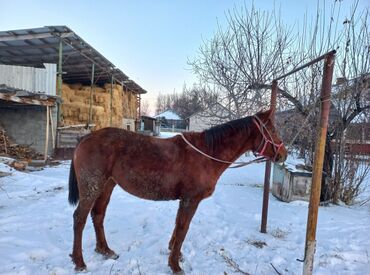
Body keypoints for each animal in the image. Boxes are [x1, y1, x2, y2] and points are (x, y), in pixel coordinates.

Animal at [68, 109, 288, 274]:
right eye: (272, 129)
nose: (283, 154)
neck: (206, 154)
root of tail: (85, 138)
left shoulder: (184, 199)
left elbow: (177, 225)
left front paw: (174, 253)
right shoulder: (191, 199)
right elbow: (183, 228)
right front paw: (175, 265)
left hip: (107, 185)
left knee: (98, 215)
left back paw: (105, 250)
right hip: (92, 186)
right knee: (80, 218)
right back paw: (79, 262)